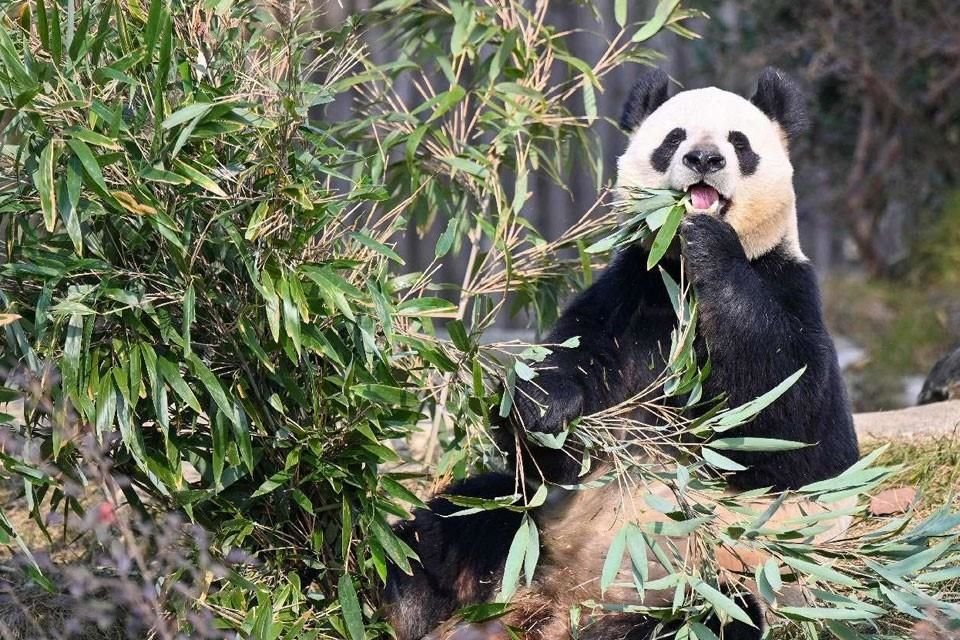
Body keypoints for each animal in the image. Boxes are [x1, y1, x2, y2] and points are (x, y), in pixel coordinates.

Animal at [382, 67, 864, 640]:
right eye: (674, 139)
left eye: (739, 143)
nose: (705, 160)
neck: (679, 276)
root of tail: (562, 605)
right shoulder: (629, 296)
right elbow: (556, 429)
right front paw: (543, 407)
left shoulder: (788, 286)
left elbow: (795, 427)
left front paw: (710, 243)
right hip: (531, 535)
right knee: (454, 524)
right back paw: (403, 601)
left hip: (711, 580)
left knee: (720, 615)